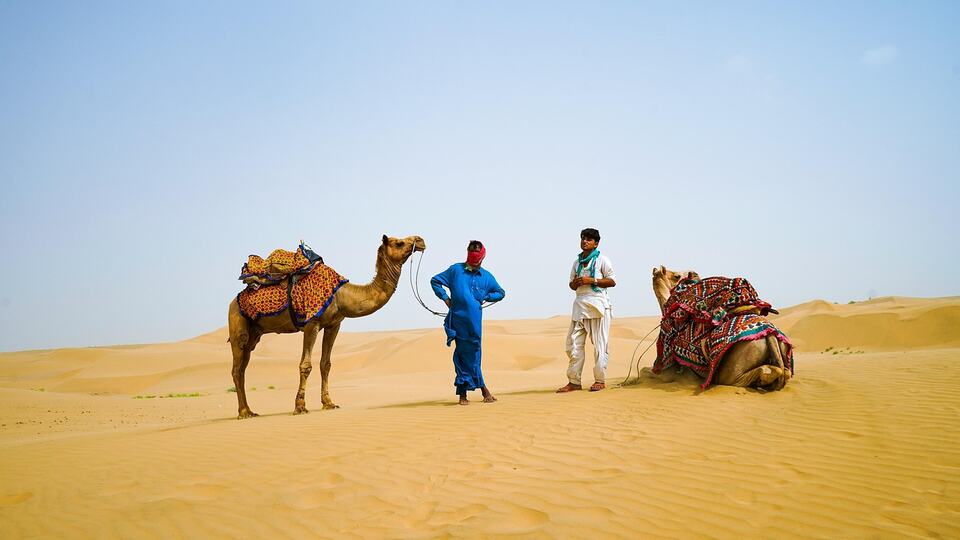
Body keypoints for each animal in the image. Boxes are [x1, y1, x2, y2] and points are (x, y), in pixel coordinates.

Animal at [228, 235, 426, 418]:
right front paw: (300, 407)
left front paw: (329, 403)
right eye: (399, 242)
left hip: (254, 335)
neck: (342, 296)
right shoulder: (311, 323)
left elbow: (326, 364)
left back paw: (249, 410)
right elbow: (305, 365)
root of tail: (233, 302)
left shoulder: (334, 325)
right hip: (237, 324)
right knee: (237, 369)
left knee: (243, 368)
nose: (420, 240)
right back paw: (244, 412)